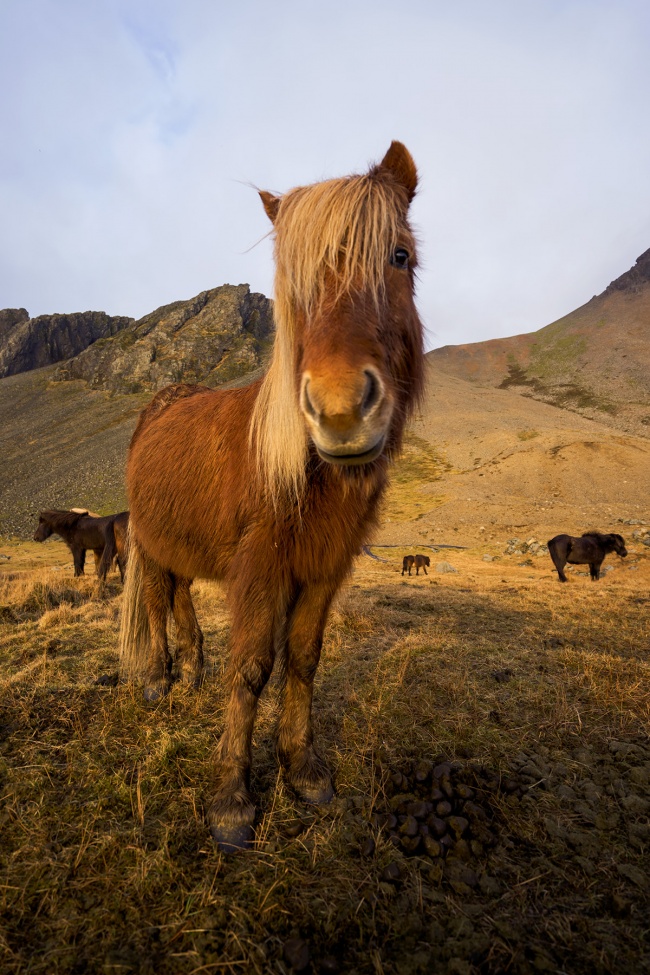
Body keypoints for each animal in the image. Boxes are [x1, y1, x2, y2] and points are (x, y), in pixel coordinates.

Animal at [119, 141, 426, 852]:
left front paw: (302, 768)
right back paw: (158, 681)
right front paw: (232, 797)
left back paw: (191, 674)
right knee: (156, 601)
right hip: (153, 544)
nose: (341, 411)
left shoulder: (323, 568)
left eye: (400, 256)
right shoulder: (261, 568)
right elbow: (254, 665)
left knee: (180, 596)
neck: (305, 475)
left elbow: (303, 661)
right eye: (295, 286)